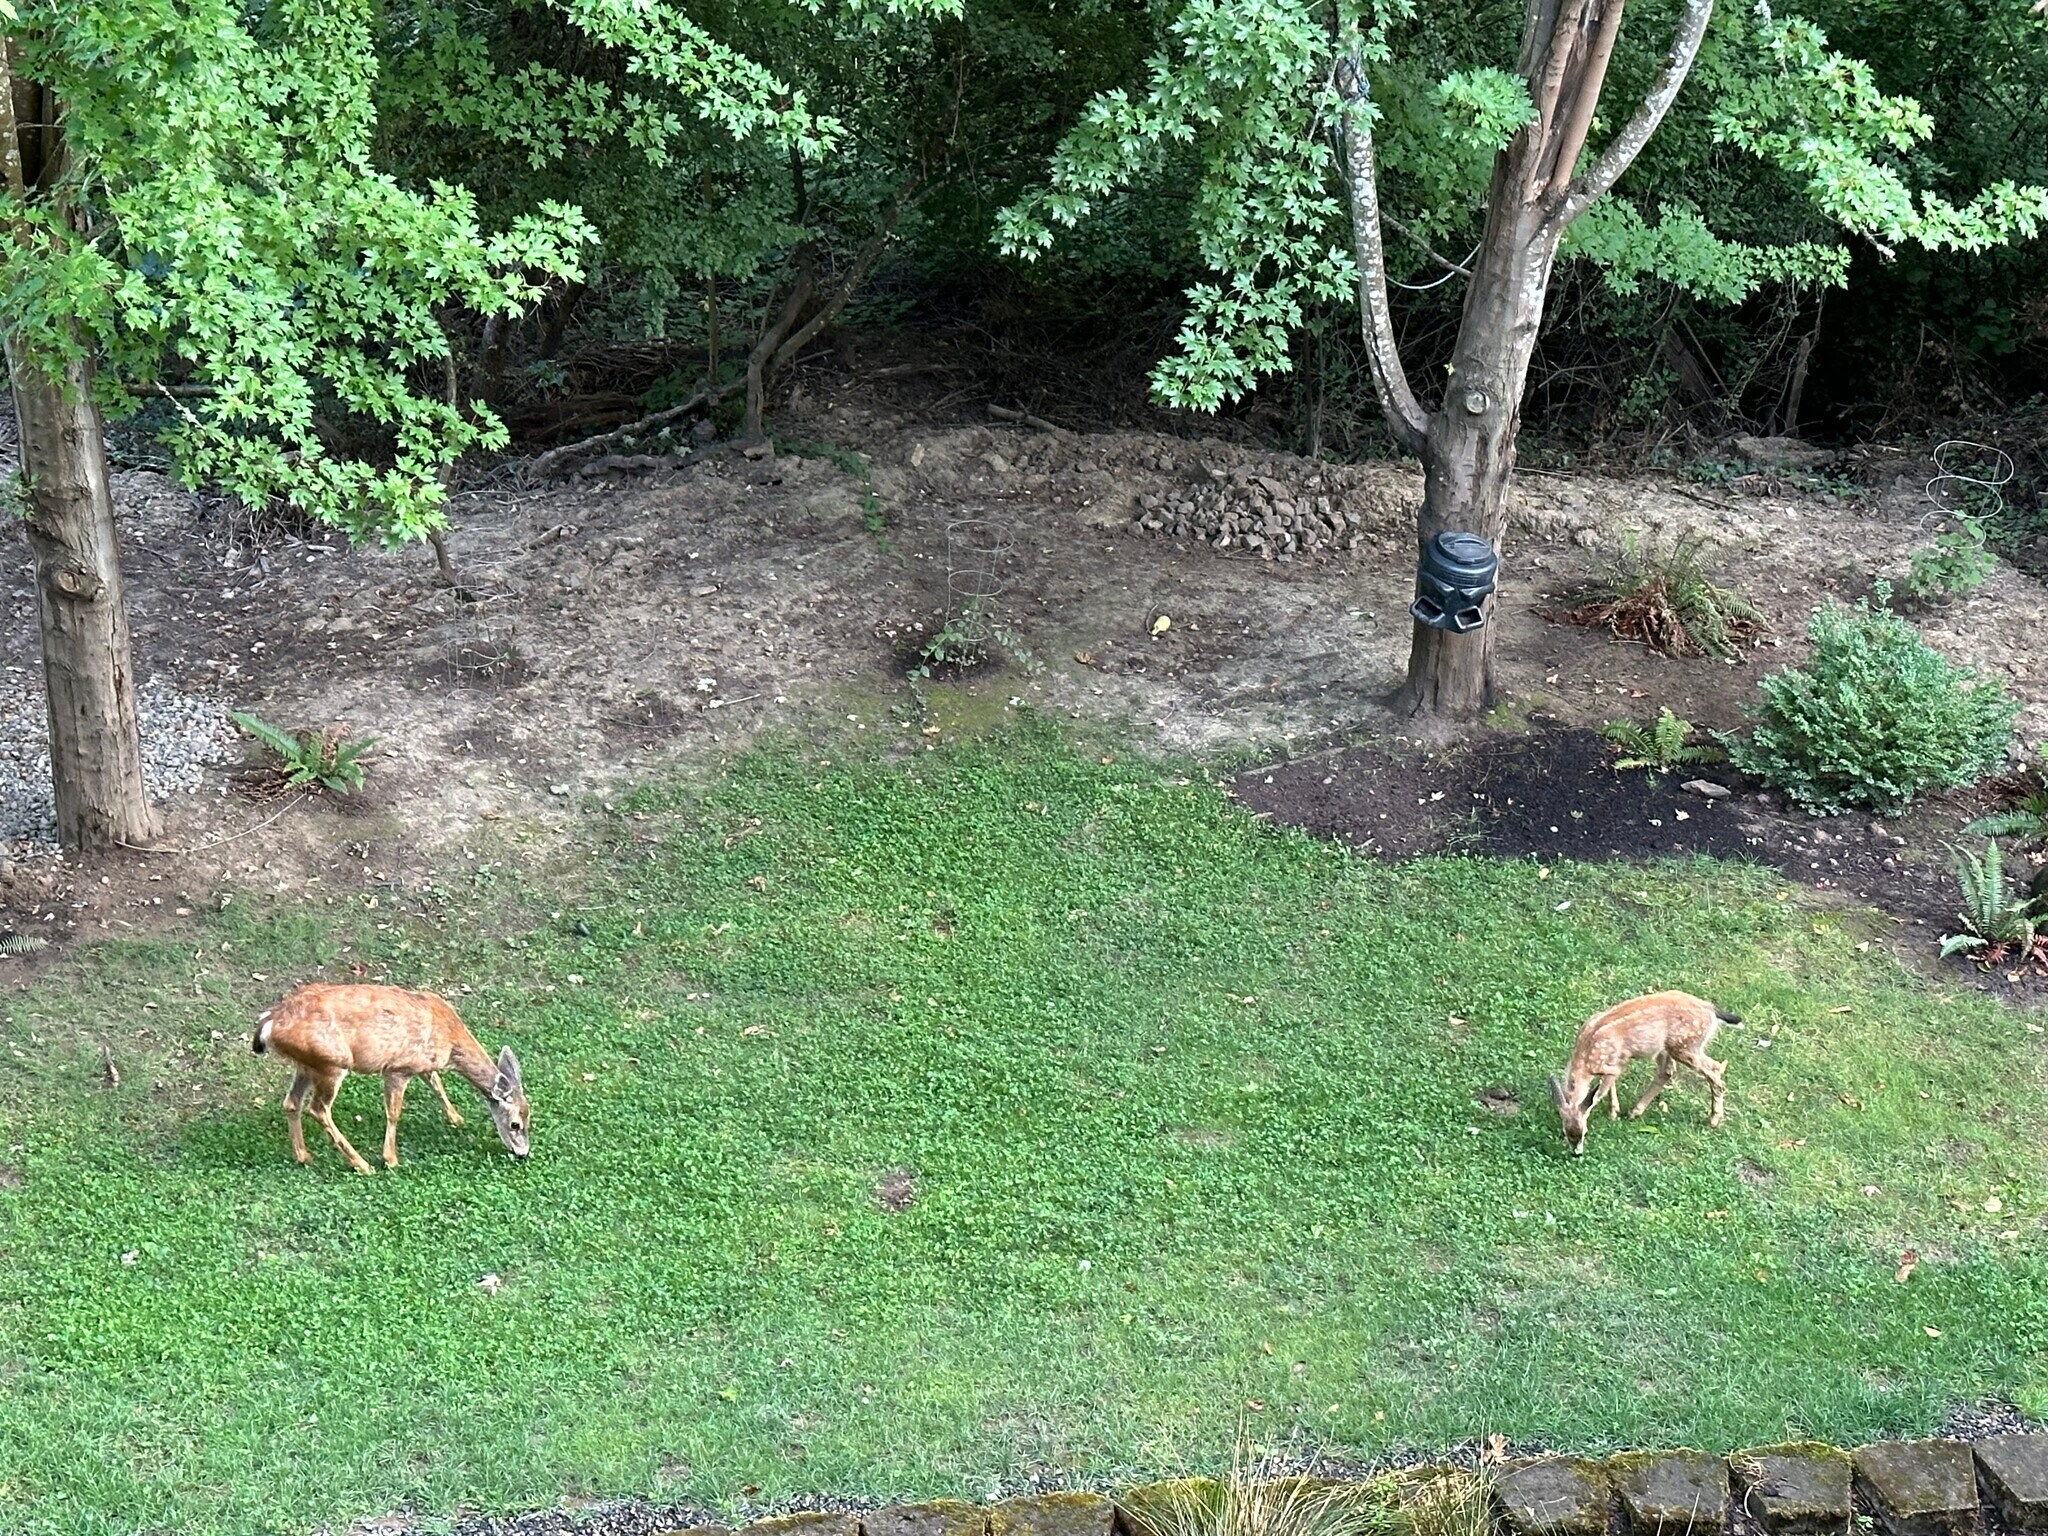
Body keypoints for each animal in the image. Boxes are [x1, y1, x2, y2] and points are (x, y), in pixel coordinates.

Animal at [251, 983, 530, 1173]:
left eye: (531, 1117)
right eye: (515, 1124)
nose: (523, 1153)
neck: (450, 1042)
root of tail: (269, 1022)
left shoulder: (422, 1065)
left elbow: (437, 1084)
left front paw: (456, 1118)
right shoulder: (398, 1068)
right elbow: (394, 1112)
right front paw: (391, 1159)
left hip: (307, 1065)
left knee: (292, 1102)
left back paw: (304, 1156)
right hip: (331, 1063)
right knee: (318, 1109)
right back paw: (362, 1164)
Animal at [1549, 990, 1736, 1156]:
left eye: (1584, 1132)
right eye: (1565, 1132)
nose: (1576, 1153)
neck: (1585, 1057)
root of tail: (1711, 1010)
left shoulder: (1617, 1063)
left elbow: (1602, 1091)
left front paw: (1612, 1113)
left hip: (1685, 1046)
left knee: (1714, 1068)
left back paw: (1713, 1120)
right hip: (1669, 1047)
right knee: (1668, 1071)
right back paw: (1635, 1111)